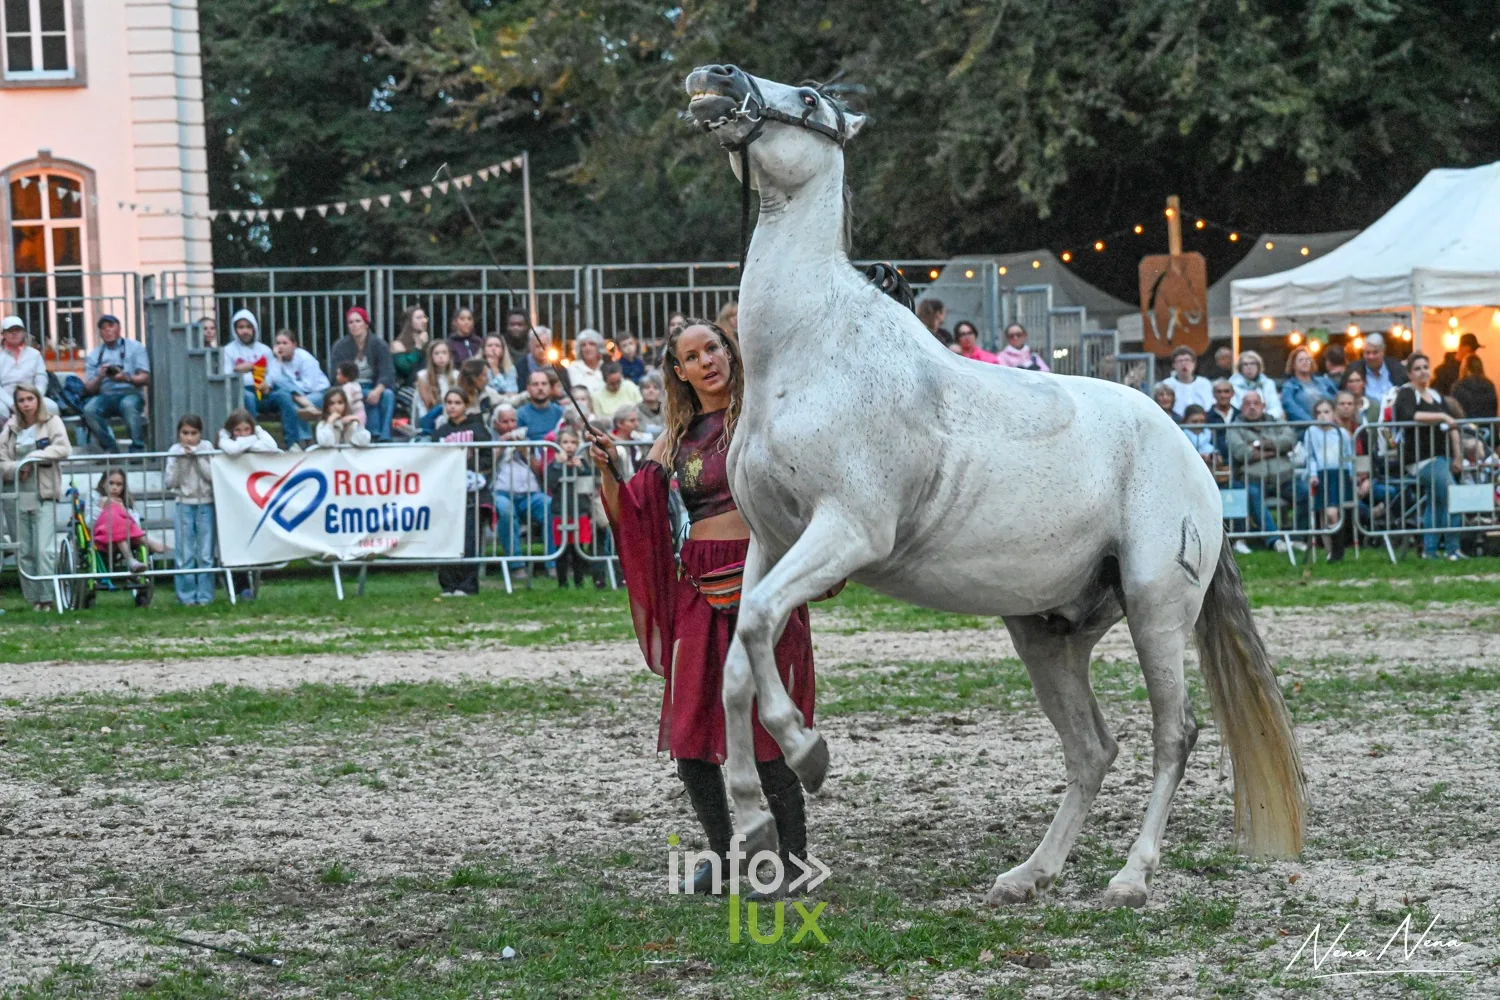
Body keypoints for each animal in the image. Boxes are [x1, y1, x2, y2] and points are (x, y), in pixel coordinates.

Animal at [682, 64, 1306, 908]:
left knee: (1172, 734)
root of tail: (1193, 460)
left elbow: (752, 631)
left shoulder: (846, 531)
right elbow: (736, 668)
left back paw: (1130, 877)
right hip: (1047, 633)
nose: (715, 80)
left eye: (809, 101)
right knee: (1092, 750)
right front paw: (751, 826)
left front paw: (810, 754)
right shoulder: (773, 545)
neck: (812, 351)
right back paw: (1029, 874)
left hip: (1156, 607)